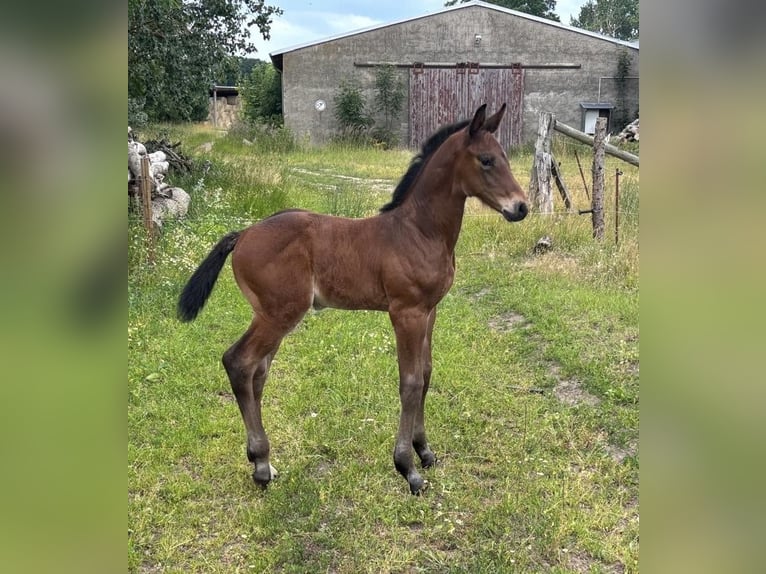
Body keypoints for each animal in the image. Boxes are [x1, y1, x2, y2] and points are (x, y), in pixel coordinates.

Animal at [177, 104, 528, 495]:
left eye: (506, 158)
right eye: (486, 160)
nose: (521, 207)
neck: (418, 231)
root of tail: (244, 234)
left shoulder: (430, 311)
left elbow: (426, 373)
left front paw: (424, 451)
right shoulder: (406, 312)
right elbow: (410, 382)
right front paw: (408, 468)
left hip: (270, 315)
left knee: (257, 371)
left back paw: (262, 463)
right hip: (280, 314)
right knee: (238, 361)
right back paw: (261, 463)